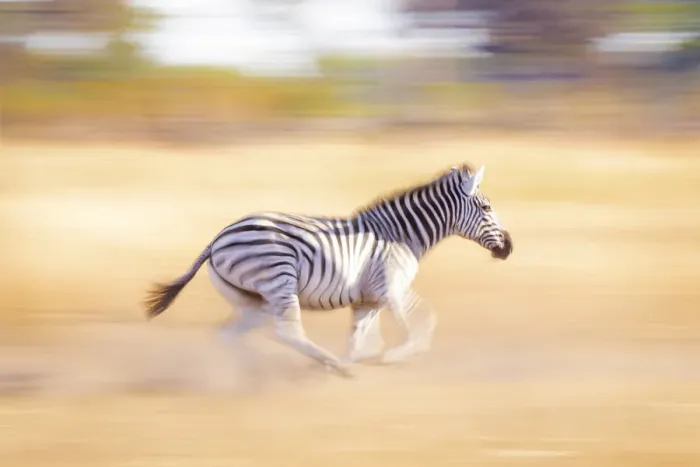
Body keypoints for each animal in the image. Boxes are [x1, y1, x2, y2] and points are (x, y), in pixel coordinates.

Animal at [143, 163, 513, 378]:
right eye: (486, 207)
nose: (508, 247)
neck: (400, 236)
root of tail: (217, 238)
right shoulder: (390, 288)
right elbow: (418, 326)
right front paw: (393, 357)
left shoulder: (368, 300)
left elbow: (361, 338)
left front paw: (364, 357)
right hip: (279, 278)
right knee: (288, 332)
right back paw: (329, 365)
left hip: (250, 299)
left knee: (228, 335)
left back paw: (247, 368)